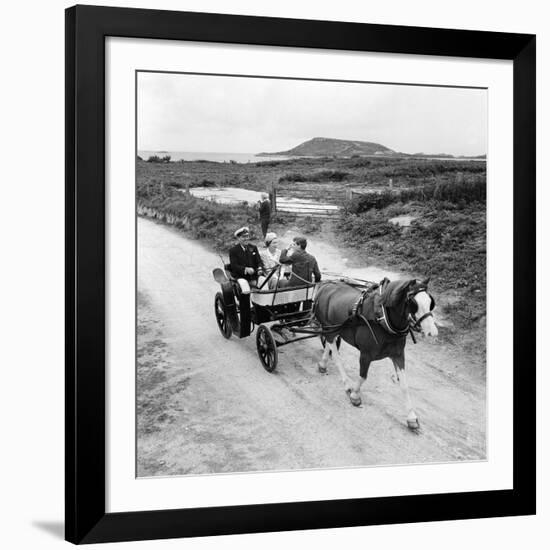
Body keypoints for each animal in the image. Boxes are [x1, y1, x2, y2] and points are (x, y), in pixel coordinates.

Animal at [314, 280, 440, 432]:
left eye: (430, 302)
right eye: (413, 303)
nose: (432, 333)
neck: (382, 318)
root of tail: (326, 285)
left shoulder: (398, 355)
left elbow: (404, 385)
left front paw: (411, 417)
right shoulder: (365, 354)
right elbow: (363, 377)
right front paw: (355, 395)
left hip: (333, 329)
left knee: (329, 343)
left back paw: (323, 364)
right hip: (329, 327)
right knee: (335, 351)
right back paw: (346, 383)